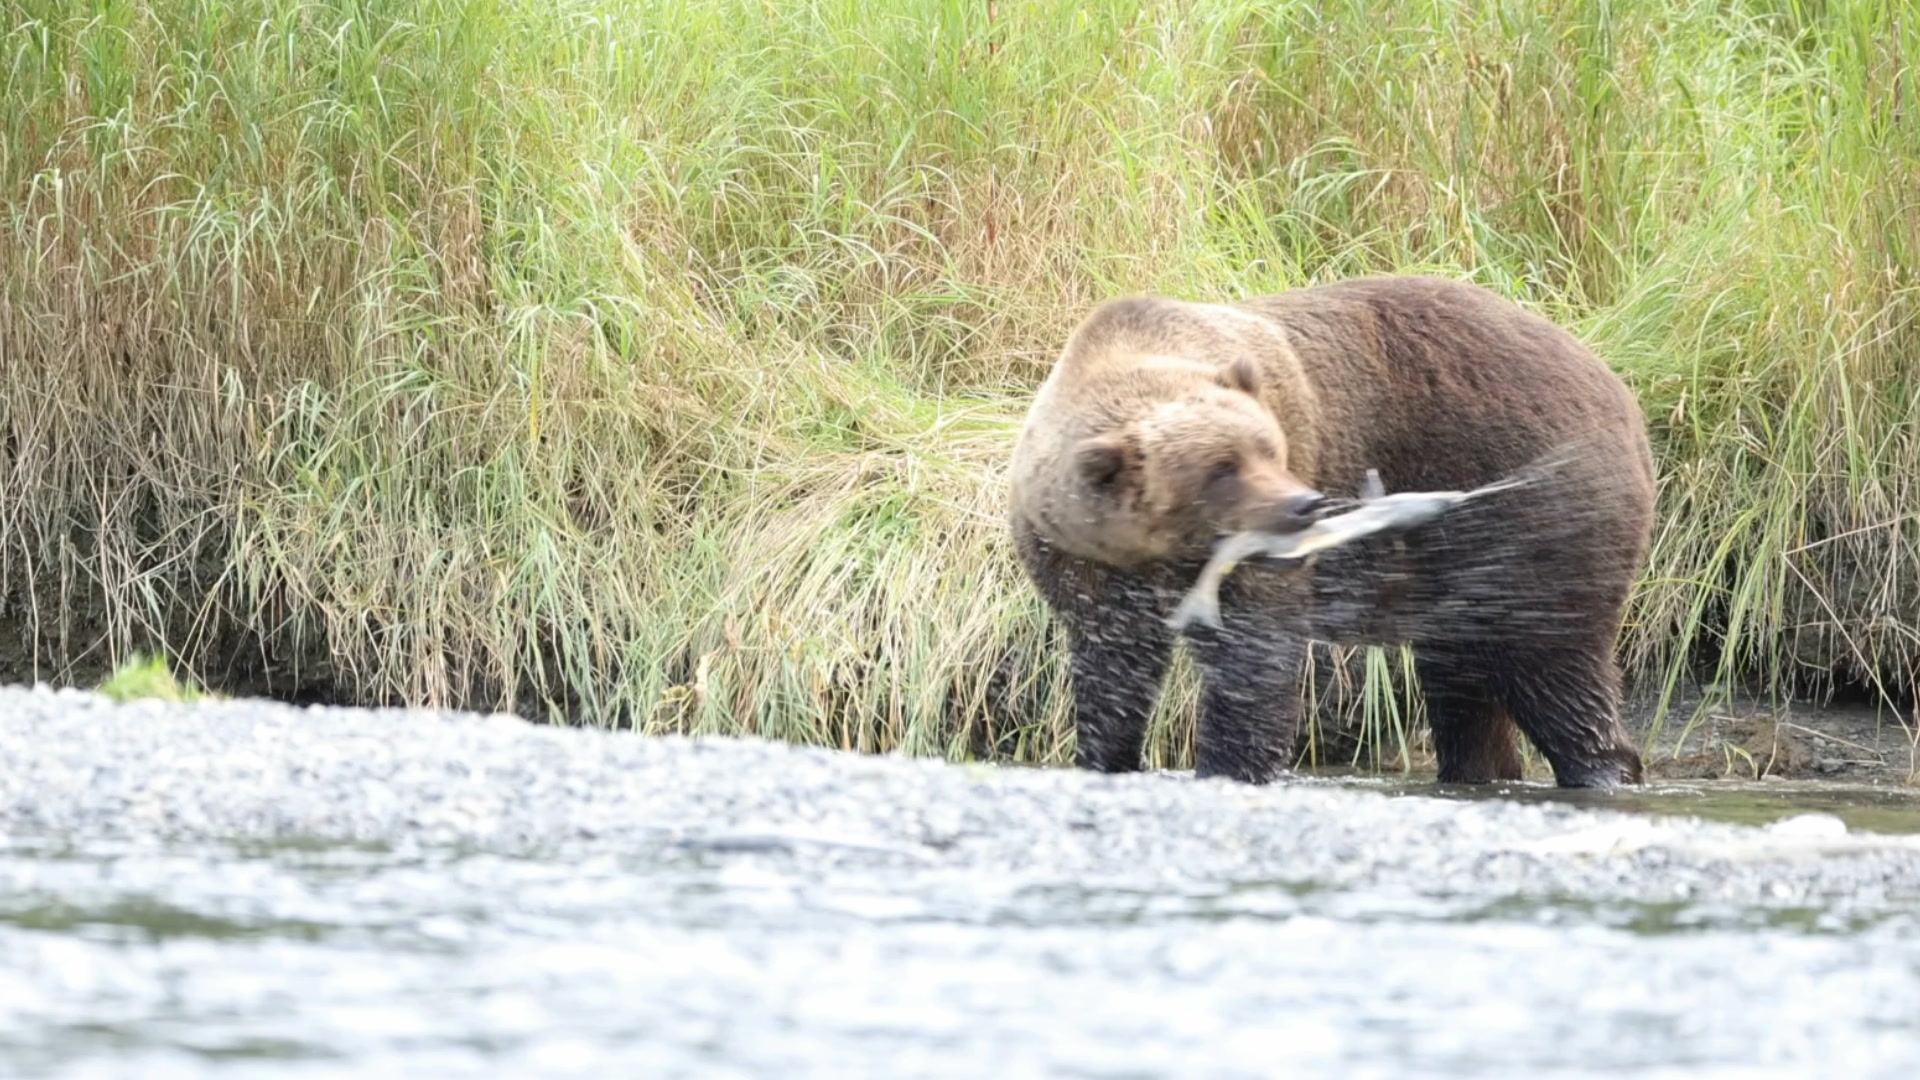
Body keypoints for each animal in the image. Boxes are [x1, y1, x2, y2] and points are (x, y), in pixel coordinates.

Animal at [1008, 274, 1655, 789]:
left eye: (1270, 449)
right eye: (1222, 469)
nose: (1304, 506)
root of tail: (1620, 392)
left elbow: (1255, 663)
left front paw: (1229, 767)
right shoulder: (1088, 572)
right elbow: (1112, 675)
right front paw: (1105, 757)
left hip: (1532, 520)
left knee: (1557, 670)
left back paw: (1603, 769)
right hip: (1462, 580)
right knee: (1463, 686)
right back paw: (1476, 770)